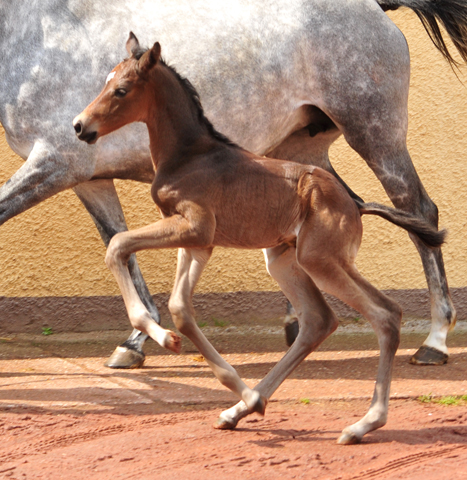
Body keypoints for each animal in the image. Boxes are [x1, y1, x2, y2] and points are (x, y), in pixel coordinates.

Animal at [0, 0, 466, 368]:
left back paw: (435, 341)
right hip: (304, 151)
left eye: (121, 89)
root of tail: (377, 9)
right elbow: (118, 242)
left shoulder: (55, 162)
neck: (37, 34)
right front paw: (135, 343)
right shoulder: (88, 179)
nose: (80, 125)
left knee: (419, 213)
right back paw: (297, 323)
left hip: (376, 134)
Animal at [74, 33, 446, 444]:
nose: (80, 126)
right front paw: (190, 353)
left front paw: (154, 335)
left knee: (384, 314)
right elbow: (181, 309)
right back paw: (243, 408)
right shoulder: (199, 242)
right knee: (319, 320)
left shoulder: (195, 227)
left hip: (319, 259)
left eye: (121, 90)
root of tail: (356, 205)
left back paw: (363, 423)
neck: (189, 155)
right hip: (286, 259)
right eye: (105, 82)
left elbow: (117, 245)